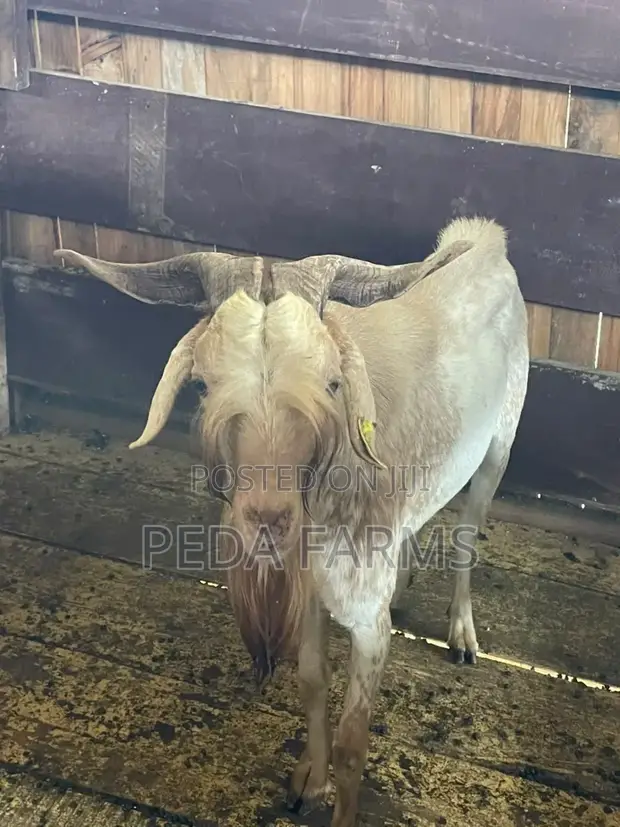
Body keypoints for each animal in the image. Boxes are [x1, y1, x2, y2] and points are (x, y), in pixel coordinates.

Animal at [54, 215, 529, 827]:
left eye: (332, 383)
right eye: (203, 384)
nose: (268, 517)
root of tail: (486, 238)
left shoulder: (366, 623)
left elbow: (354, 745)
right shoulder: (310, 594)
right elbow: (310, 681)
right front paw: (309, 778)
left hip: (500, 441)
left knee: (471, 528)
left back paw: (462, 633)